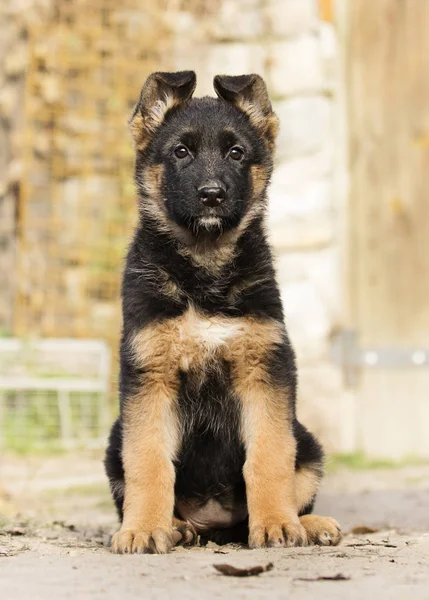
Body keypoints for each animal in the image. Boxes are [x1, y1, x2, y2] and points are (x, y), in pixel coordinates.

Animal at [104, 70, 342, 552]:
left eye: (236, 153)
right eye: (181, 152)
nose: (212, 196)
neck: (205, 266)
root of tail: (213, 526)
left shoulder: (264, 370)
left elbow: (270, 456)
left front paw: (276, 524)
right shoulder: (149, 376)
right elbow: (149, 461)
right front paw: (143, 529)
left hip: (308, 441)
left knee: (296, 473)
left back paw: (307, 523)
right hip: (113, 441)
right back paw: (174, 527)